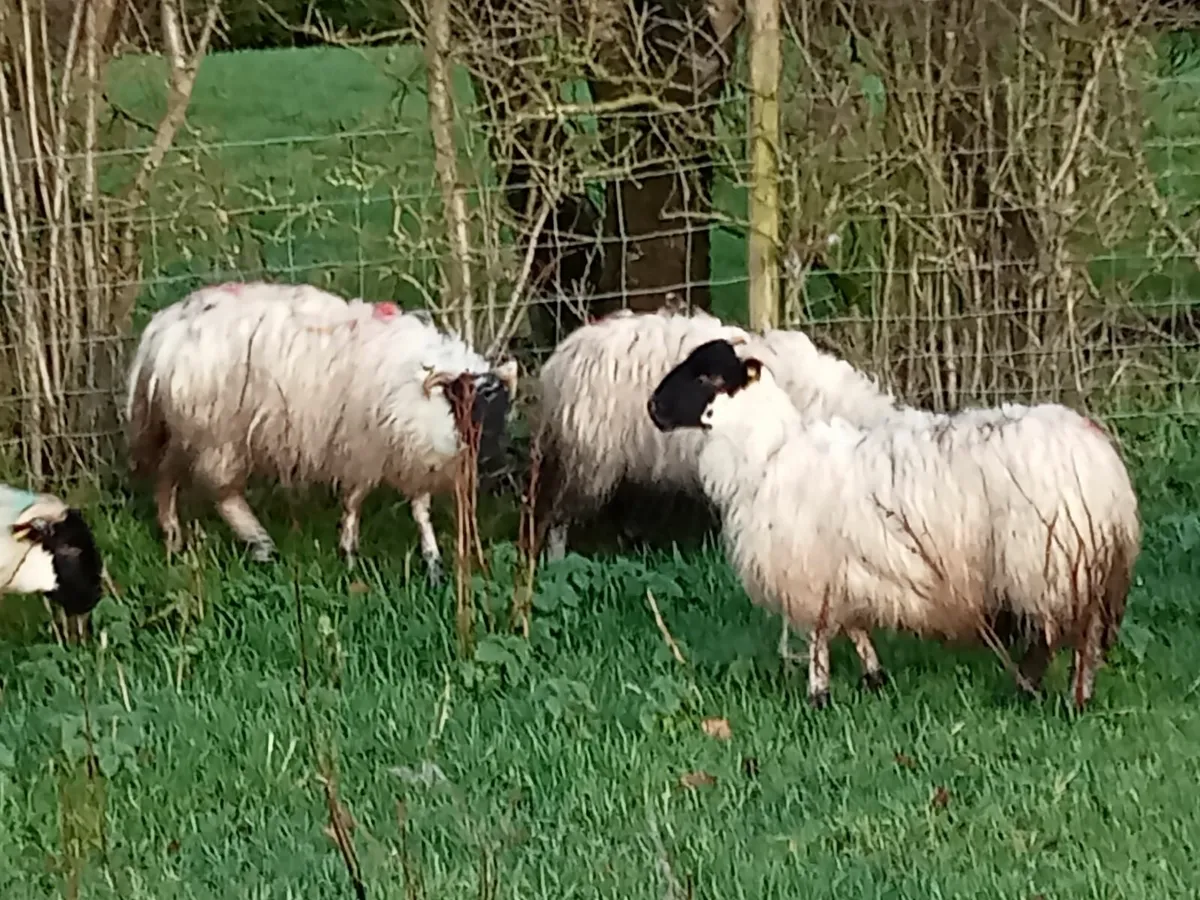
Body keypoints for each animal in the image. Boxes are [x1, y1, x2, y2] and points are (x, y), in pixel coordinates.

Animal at [125, 281, 519, 582]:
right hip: (216, 433)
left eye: (501, 410)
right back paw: (260, 543)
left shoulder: (408, 452)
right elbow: (355, 500)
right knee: (222, 491)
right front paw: (349, 553)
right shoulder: (363, 448)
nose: (493, 461)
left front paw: (433, 561)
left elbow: (420, 509)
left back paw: (173, 535)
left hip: (183, 428)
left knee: (166, 475)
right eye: (469, 405)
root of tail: (162, 332)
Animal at [647, 339, 1140, 711]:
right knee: (1083, 633)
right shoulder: (843, 569)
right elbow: (853, 624)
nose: (653, 407)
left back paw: (1042, 691)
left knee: (1062, 635)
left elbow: (820, 634)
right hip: (1075, 564)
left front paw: (818, 694)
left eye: (709, 377)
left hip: (1047, 560)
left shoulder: (811, 569)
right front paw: (873, 675)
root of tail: (1104, 466)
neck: (770, 451)